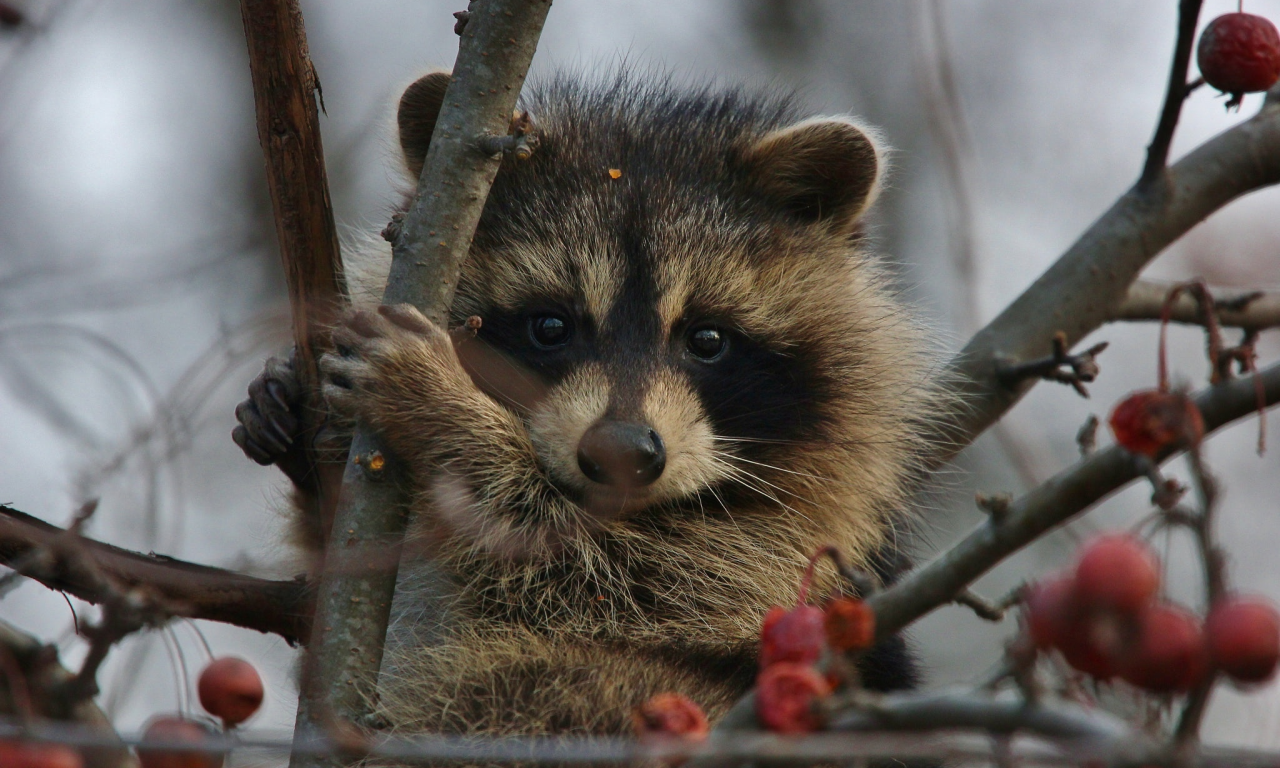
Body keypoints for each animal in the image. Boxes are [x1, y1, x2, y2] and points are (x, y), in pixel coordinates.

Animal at [232, 72, 931, 737]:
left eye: (707, 340)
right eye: (550, 327)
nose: (622, 452)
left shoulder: (771, 557)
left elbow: (595, 572)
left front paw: (445, 410)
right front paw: (295, 427)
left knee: (530, 686)